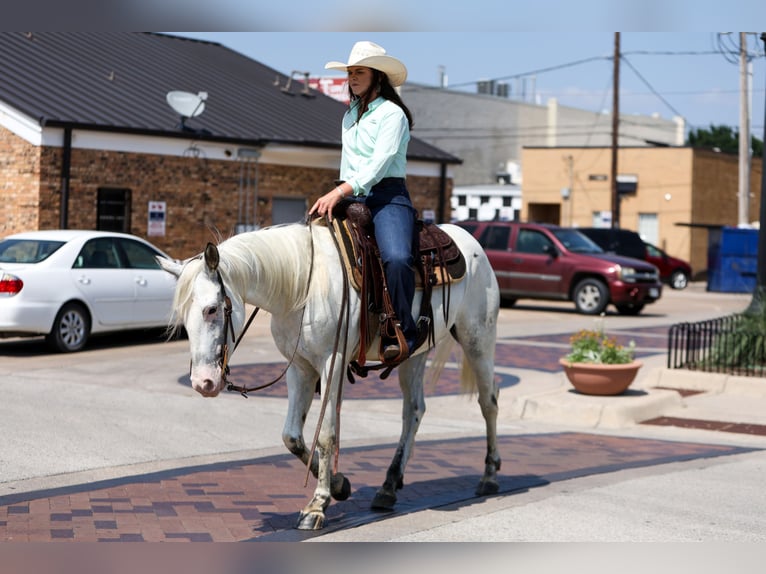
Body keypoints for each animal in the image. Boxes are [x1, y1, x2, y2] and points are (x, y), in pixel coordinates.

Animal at [159, 220, 500, 532]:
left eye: (211, 309)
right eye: (183, 319)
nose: (203, 383)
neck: (302, 288)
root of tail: (468, 239)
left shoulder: (331, 363)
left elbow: (325, 434)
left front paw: (317, 505)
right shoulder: (299, 367)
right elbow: (291, 435)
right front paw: (339, 485)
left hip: (478, 339)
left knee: (488, 402)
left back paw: (490, 475)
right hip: (415, 354)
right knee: (413, 410)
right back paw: (388, 486)